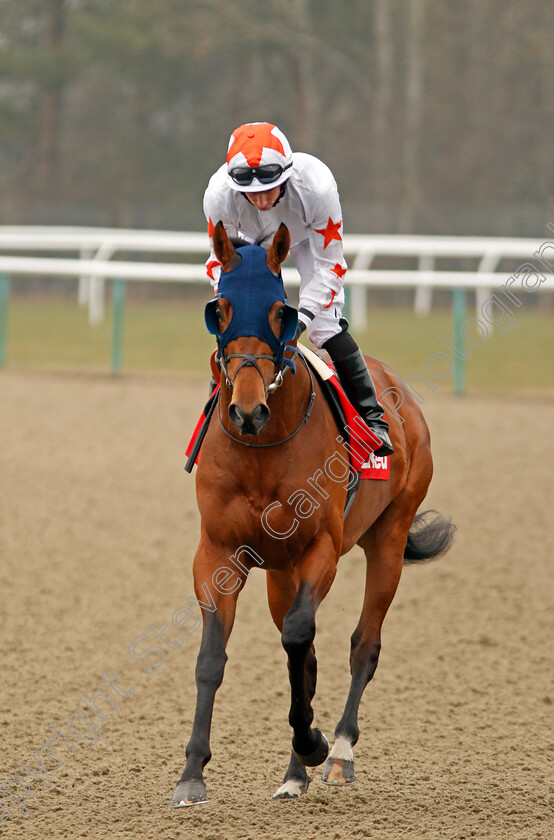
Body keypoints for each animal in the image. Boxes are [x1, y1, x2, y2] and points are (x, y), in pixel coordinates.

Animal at [171, 223, 452, 808]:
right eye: (219, 309)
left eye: (281, 312)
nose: (247, 411)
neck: (262, 447)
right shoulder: (218, 553)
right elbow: (214, 659)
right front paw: (192, 773)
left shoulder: (320, 548)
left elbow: (301, 639)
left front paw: (314, 742)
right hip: (279, 572)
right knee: (308, 655)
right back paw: (295, 771)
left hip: (388, 540)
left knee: (362, 645)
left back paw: (337, 751)